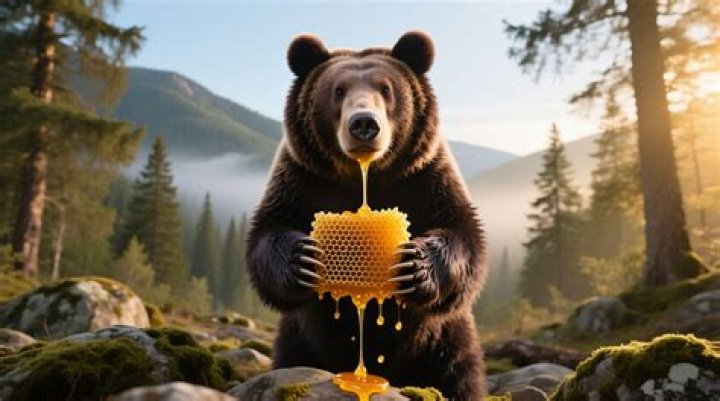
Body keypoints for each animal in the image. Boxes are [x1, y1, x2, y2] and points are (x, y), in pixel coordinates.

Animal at [246, 31, 487, 400]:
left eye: (386, 88)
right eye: (338, 90)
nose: (363, 124)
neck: (365, 176)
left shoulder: (427, 177)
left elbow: (461, 231)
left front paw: (414, 265)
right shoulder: (301, 178)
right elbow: (268, 230)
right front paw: (303, 260)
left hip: (443, 343)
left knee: (459, 376)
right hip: (300, 339)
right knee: (290, 358)